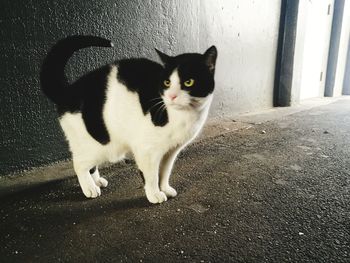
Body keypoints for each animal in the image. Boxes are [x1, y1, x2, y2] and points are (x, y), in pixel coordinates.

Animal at [40, 35, 216, 204]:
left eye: (189, 82)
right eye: (167, 82)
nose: (172, 96)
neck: (181, 116)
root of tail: (69, 91)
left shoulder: (171, 151)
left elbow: (165, 172)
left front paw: (165, 189)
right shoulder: (146, 150)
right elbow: (152, 176)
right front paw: (154, 194)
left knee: (89, 165)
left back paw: (97, 181)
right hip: (98, 145)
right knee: (79, 163)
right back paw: (89, 188)